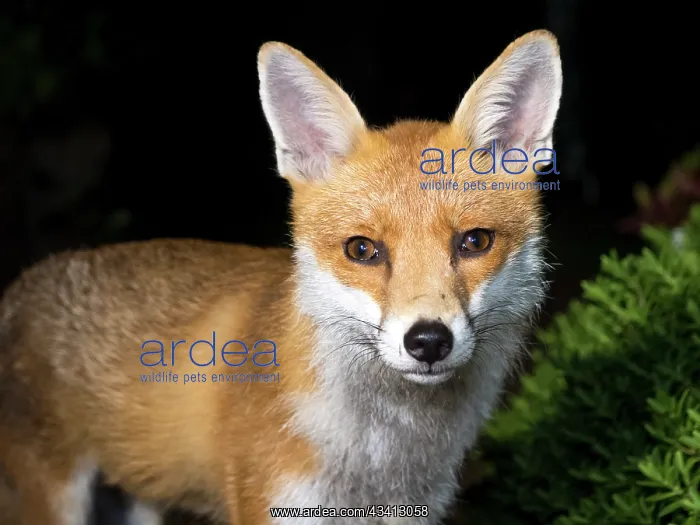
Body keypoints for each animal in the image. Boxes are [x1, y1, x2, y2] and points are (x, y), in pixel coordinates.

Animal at [0, 29, 562, 525]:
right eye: (363, 250)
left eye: (474, 242)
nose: (428, 341)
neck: (377, 463)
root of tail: (24, 280)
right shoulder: (275, 503)